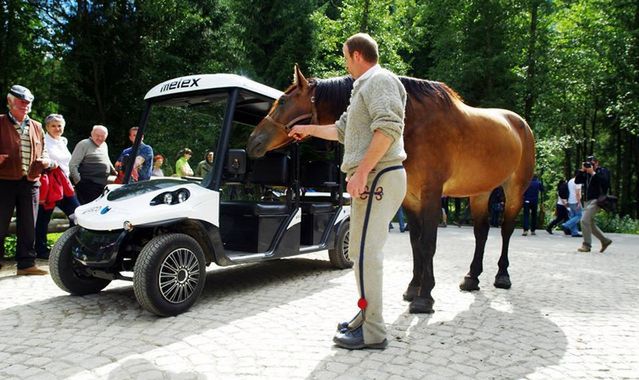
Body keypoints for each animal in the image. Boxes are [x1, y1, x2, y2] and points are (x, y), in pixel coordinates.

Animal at [245, 65, 536, 314]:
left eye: (283, 101)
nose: (252, 141)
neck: (414, 123)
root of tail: (520, 123)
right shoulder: (410, 197)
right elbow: (416, 243)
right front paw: (413, 287)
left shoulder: (431, 195)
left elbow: (428, 243)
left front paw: (425, 297)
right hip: (480, 193)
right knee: (481, 233)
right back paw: (472, 277)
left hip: (514, 191)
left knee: (506, 230)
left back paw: (502, 275)